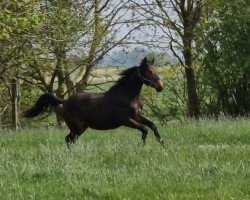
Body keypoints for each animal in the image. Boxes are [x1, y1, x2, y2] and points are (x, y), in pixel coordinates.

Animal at [23, 57, 164, 146]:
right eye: (149, 71)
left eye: (156, 70)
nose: (161, 87)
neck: (127, 95)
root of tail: (65, 101)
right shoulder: (126, 120)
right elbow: (144, 129)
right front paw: (143, 146)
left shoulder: (137, 116)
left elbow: (152, 125)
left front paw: (162, 144)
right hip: (77, 127)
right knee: (69, 139)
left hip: (81, 128)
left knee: (70, 140)